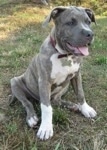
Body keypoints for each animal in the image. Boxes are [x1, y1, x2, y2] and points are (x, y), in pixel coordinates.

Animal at [9, 6, 97, 140]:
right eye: (70, 23)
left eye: (88, 22)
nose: (90, 34)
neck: (64, 55)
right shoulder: (44, 82)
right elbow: (46, 107)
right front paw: (45, 128)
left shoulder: (77, 75)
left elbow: (80, 93)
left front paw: (85, 108)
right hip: (15, 82)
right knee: (27, 102)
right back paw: (31, 117)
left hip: (65, 86)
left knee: (56, 100)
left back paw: (73, 106)